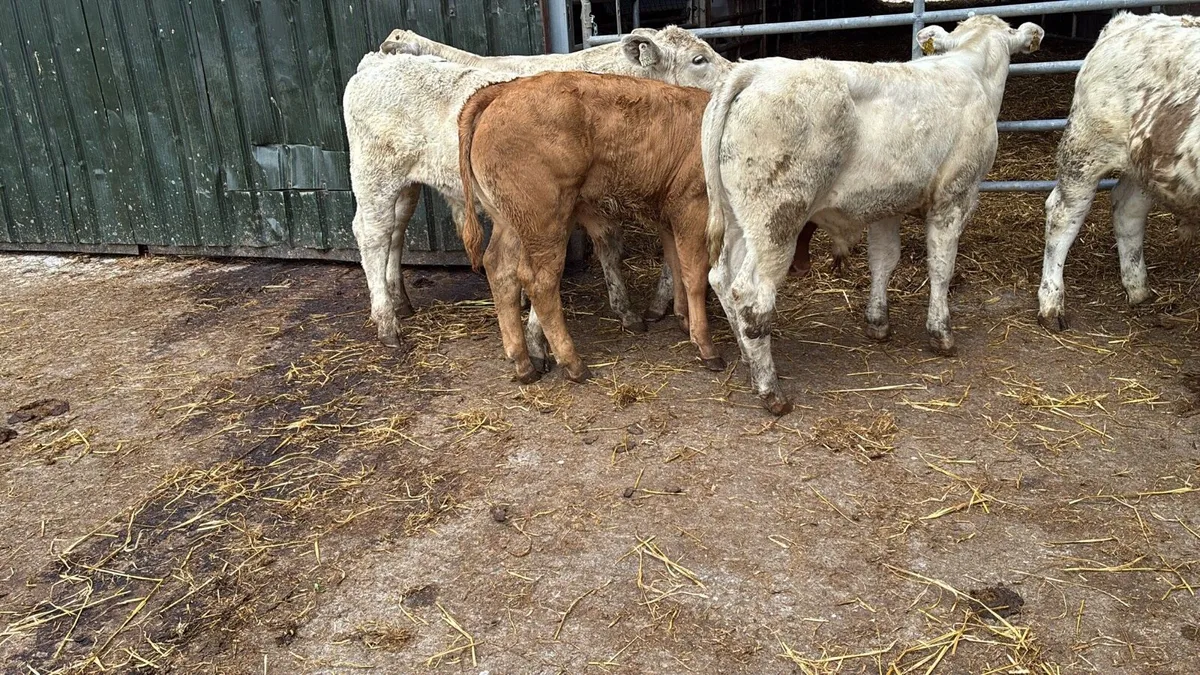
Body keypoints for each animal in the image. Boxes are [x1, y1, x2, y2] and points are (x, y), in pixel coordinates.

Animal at [343, 28, 730, 350]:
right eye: (699, 59)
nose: (737, 76)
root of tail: (375, 61)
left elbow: (611, 247)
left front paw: (628, 311)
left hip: (406, 186)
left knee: (395, 233)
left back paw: (400, 301)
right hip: (375, 177)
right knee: (371, 235)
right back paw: (388, 325)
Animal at [456, 72, 721, 384]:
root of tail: (503, 90)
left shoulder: (667, 214)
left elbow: (675, 265)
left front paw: (683, 318)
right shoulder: (692, 206)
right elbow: (695, 275)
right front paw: (705, 345)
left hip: (510, 221)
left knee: (500, 269)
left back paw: (523, 363)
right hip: (546, 221)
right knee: (539, 281)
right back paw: (573, 363)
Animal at [702, 15, 1044, 415]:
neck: (968, 66)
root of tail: (756, 70)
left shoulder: (885, 204)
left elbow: (884, 260)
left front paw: (878, 322)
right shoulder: (956, 196)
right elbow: (941, 266)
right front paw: (941, 332)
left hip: (738, 220)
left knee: (721, 278)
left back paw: (747, 358)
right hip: (778, 221)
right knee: (750, 296)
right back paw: (770, 390)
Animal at [1038, 12, 1200, 331]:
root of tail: (1128, 19)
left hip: (1144, 165)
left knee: (1127, 210)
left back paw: (1138, 289)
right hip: (1083, 152)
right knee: (1062, 215)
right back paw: (1051, 303)